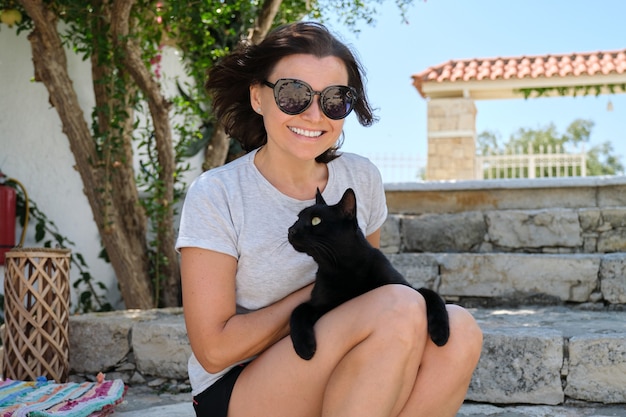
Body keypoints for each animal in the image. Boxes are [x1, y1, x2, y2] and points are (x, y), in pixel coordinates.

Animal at [288, 187, 448, 360]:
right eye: (298, 218)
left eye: (316, 220)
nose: (291, 230)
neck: (343, 268)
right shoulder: (318, 305)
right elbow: (297, 310)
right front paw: (304, 347)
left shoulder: (406, 287)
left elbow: (431, 294)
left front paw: (441, 332)